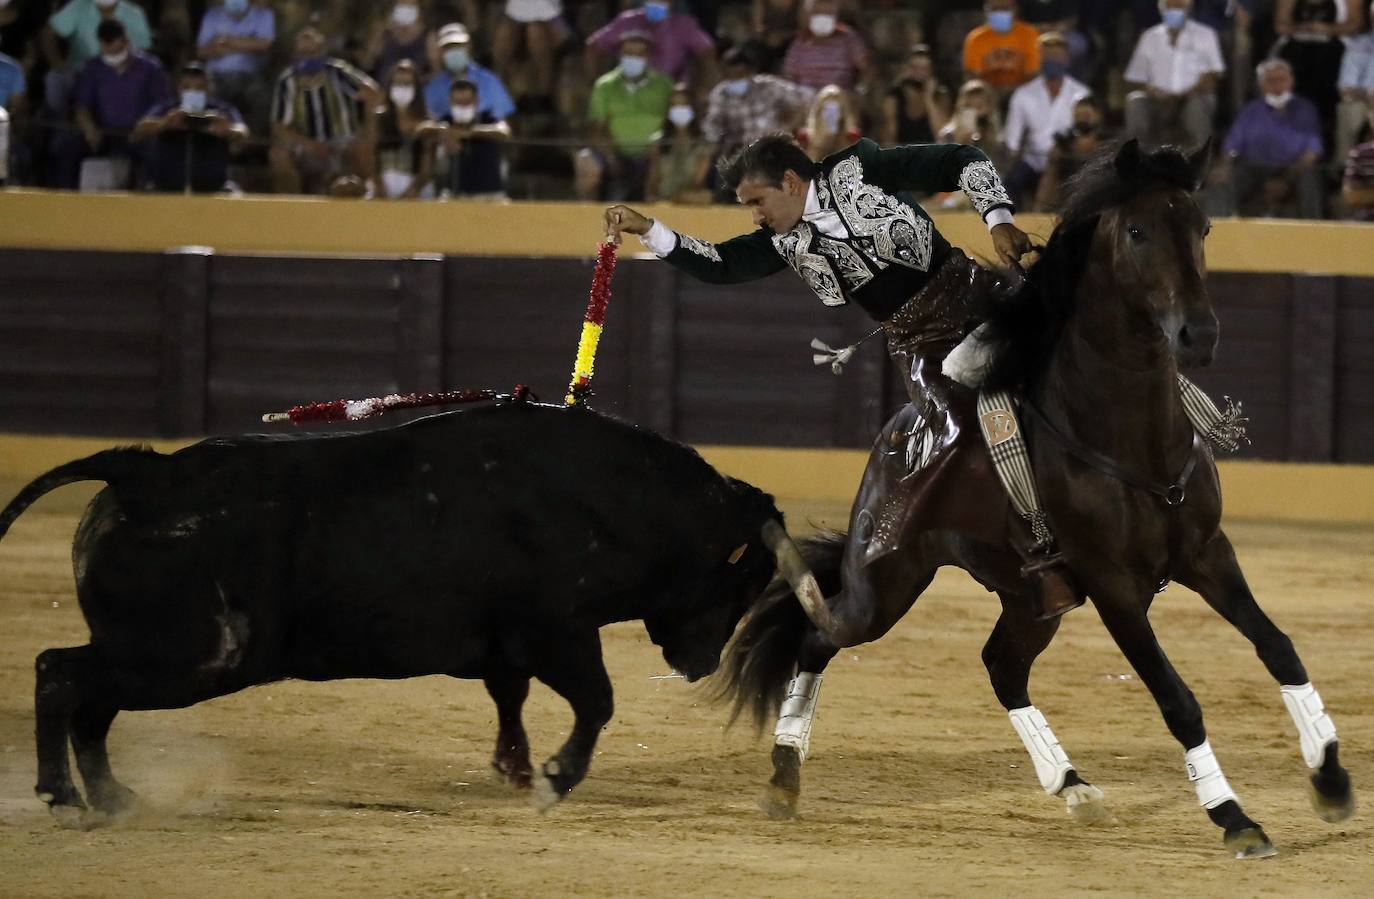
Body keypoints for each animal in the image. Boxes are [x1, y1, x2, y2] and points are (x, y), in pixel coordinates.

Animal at [0, 401, 813, 824]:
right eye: (742, 582)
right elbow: (596, 700)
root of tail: (142, 472)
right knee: (60, 675)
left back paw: (111, 798)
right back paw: (65, 797)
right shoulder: (557, 630)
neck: (608, 498)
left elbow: (510, 697)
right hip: (189, 655)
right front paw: (554, 777)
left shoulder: (510, 645)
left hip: (158, 652)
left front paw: (516, 768)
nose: (697, 662)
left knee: (89, 702)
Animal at [714, 140, 1357, 857]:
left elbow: (1278, 646)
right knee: (820, 637)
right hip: (883, 586)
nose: (1199, 334)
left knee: (1001, 665)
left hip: (1032, 596)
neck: (1130, 436)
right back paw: (783, 773)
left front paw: (1330, 778)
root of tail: (889, 444)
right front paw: (1234, 816)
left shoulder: (1207, 553)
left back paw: (1072, 785)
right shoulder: (1114, 587)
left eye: (1204, 228)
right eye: (1137, 231)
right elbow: (1177, 698)